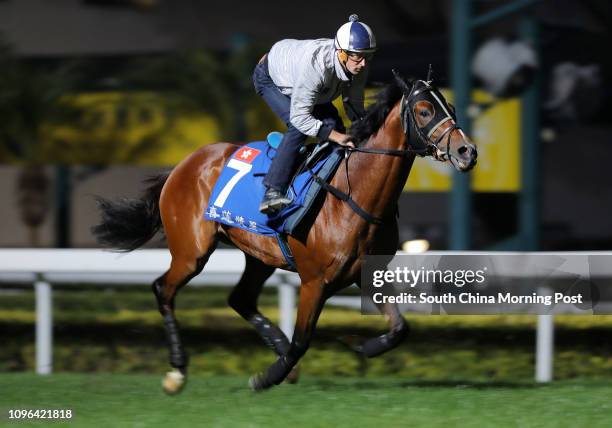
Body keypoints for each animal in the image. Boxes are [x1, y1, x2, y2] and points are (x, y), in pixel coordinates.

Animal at [92, 71, 478, 394]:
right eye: (425, 110)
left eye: (451, 107)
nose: (467, 151)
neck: (352, 194)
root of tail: (183, 165)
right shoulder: (315, 282)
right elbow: (302, 340)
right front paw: (267, 376)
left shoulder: (366, 273)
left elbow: (400, 328)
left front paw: (360, 346)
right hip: (191, 251)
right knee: (164, 290)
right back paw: (177, 372)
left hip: (259, 256)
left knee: (240, 299)